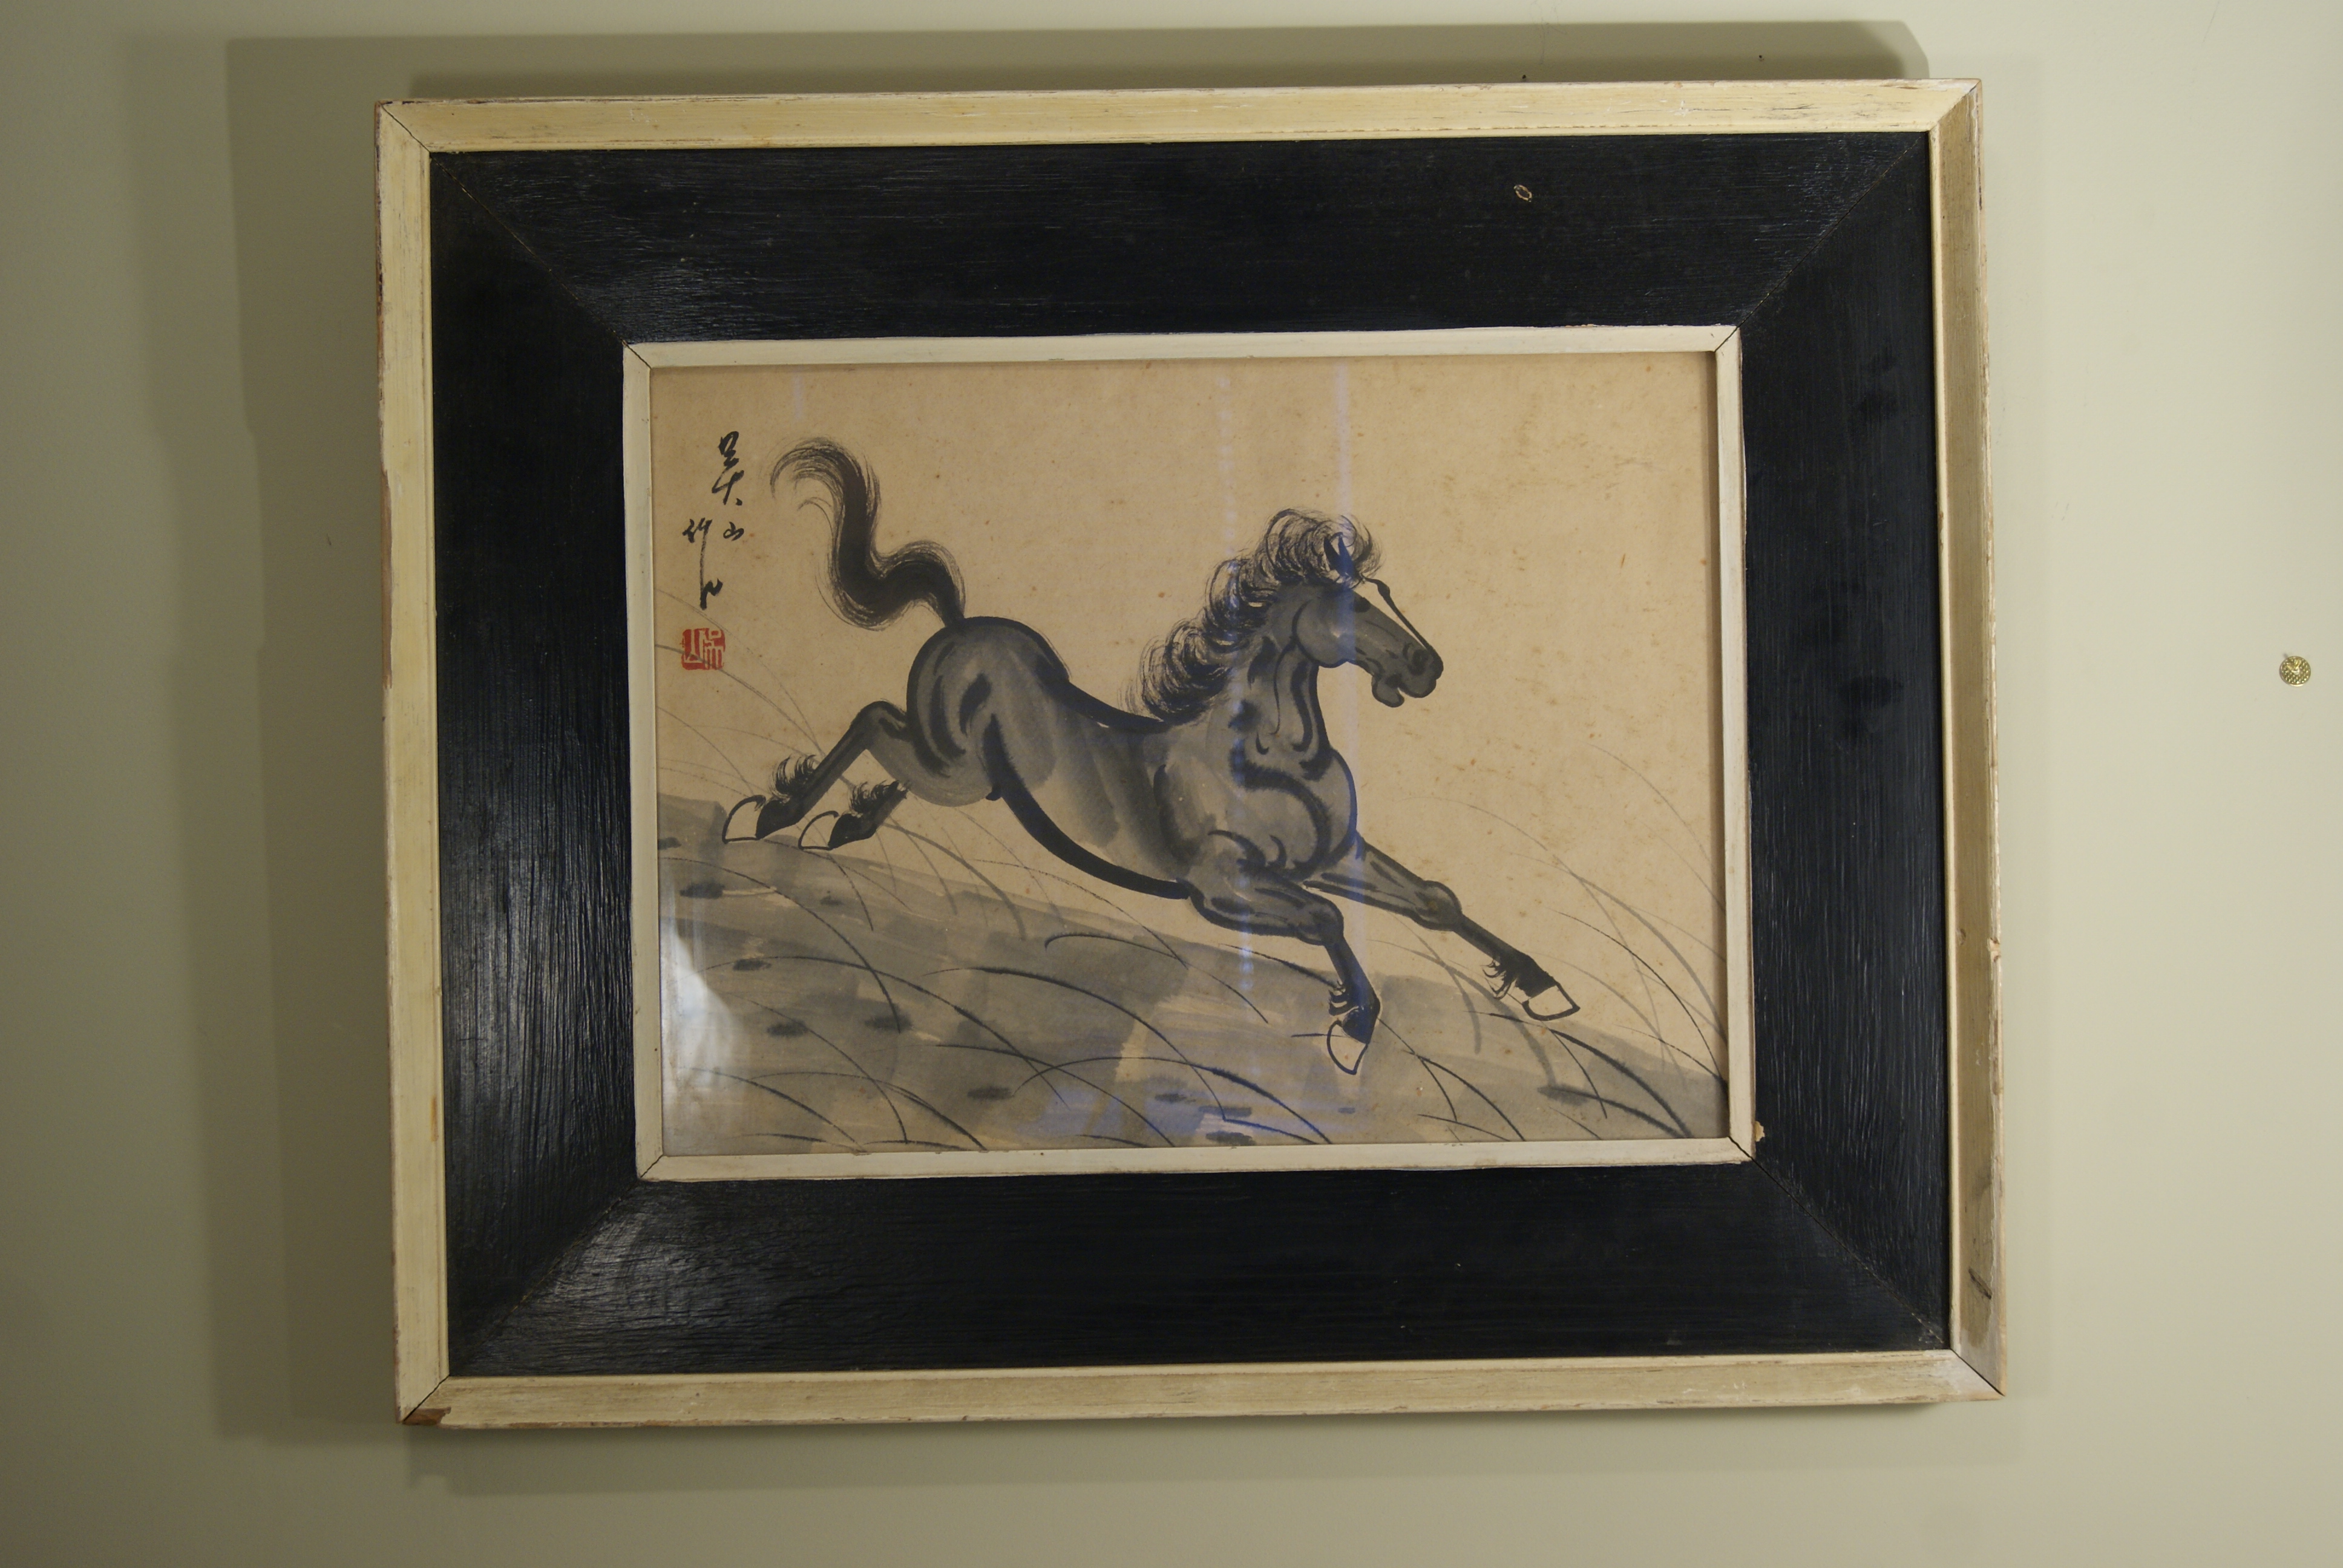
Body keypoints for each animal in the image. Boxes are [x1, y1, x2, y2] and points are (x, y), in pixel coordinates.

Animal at [724, 439, 1573, 1073]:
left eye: (1383, 594)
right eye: (1350, 601)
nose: (1426, 666)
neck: (1274, 758)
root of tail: (961, 626)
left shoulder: (1334, 854)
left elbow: (1435, 901)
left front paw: (1541, 985)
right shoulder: (1219, 885)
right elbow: (1326, 918)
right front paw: (1354, 1028)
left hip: (962, 774)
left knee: (889, 751)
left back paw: (844, 826)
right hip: (952, 767)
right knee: (872, 719)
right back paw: (774, 817)